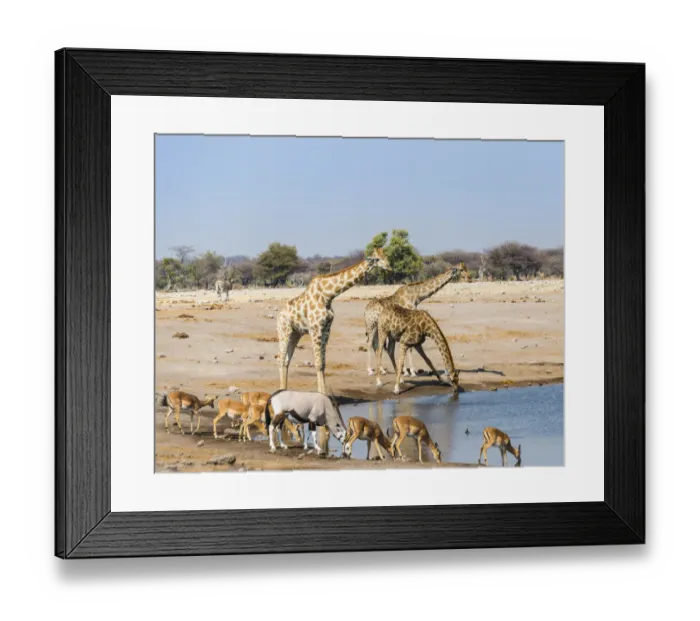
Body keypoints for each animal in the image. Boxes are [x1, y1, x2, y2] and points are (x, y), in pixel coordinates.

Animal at [277, 247, 391, 394]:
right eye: (377, 259)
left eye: (386, 256)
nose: (389, 266)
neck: (328, 295)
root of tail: (279, 316)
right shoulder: (316, 329)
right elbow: (318, 363)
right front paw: (321, 394)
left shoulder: (326, 330)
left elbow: (323, 364)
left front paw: (324, 394)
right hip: (283, 332)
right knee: (280, 359)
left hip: (295, 334)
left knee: (286, 361)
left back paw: (284, 392)